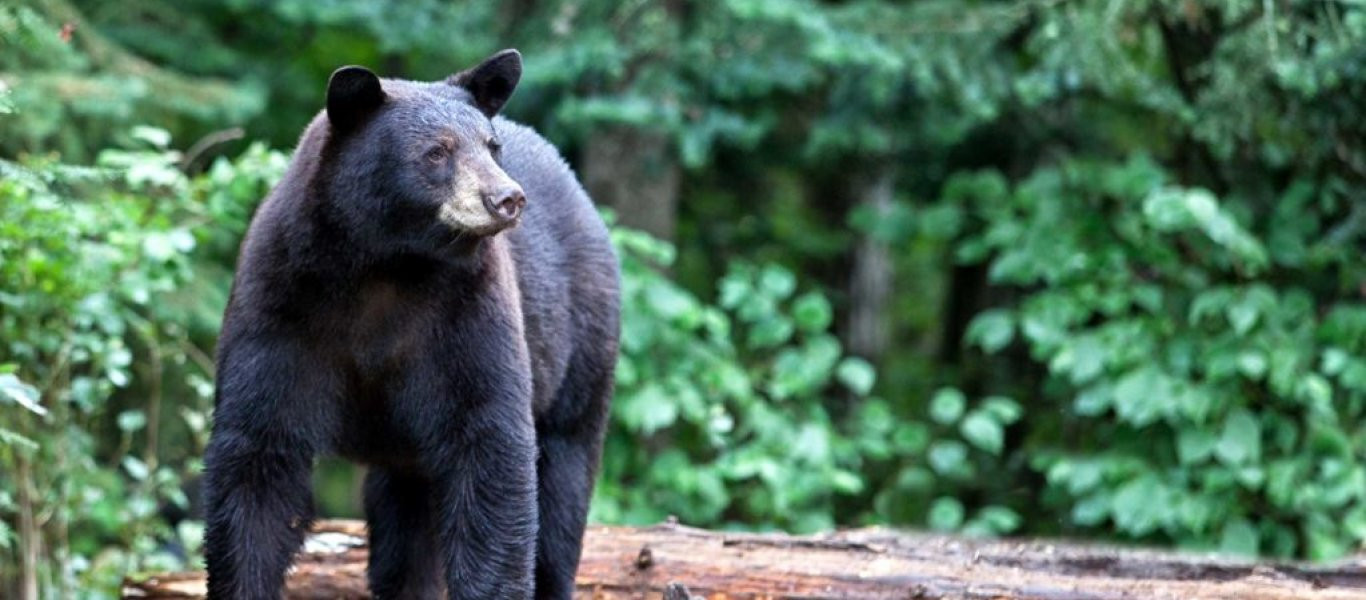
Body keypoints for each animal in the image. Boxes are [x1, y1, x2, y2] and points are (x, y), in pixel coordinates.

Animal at [200, 50, 620, 600]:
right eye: (437, 152)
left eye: (492, 147)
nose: (506, 198)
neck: (387, 265)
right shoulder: (279, 307)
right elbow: (257, 458)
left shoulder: (469, 316)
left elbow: (492, 449)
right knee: (404, 530)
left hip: (583, 343)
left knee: (564, 482)